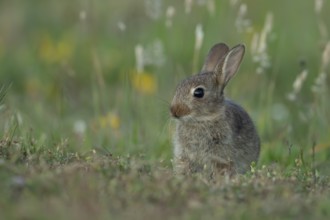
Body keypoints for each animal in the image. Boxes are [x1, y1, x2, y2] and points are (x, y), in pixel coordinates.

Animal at [170, 42, 260, 178]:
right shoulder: (184, 154)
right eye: (179, 86)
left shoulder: (220, 154)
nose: (174, 111)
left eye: (199, 92)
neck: (202, 119)